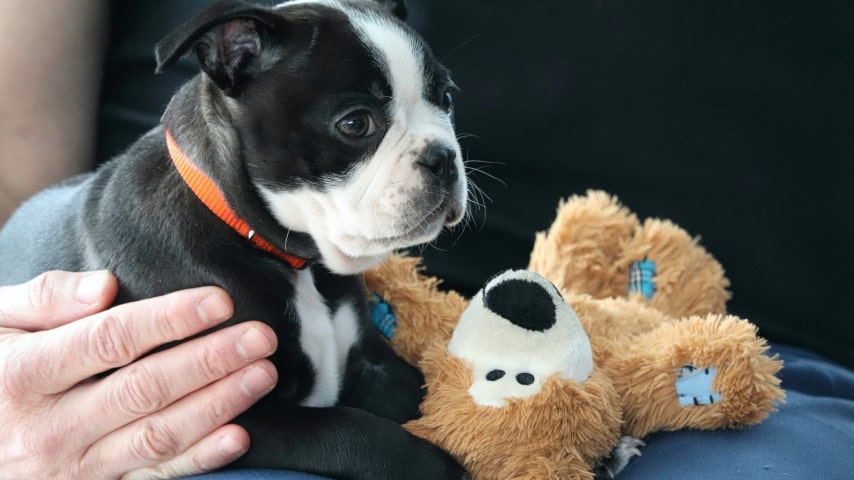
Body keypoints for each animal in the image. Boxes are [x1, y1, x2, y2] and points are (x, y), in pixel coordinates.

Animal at [0, 1, 468, 478]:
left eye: (447, 99)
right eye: (355, 124)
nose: (443, 157)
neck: (277, 253)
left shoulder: (371, 359)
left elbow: (413, 388)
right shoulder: (222, 410)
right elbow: (348, 430)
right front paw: (435, 464)